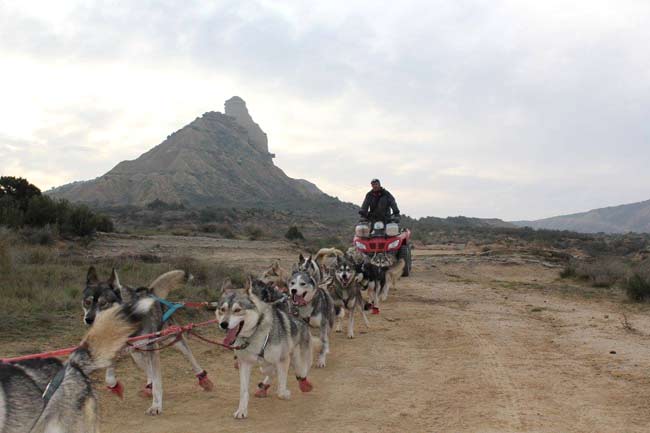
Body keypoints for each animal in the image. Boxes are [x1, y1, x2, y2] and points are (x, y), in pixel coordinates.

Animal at [81, 264, 213, 414]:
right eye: (87, 302)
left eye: (104, 303)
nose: (89, 319)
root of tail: (151, 292)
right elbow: (109, 377)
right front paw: (115, 385)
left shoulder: (152, 349)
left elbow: (157, 379)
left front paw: (156, 405)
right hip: (137, 354)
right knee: (148, 370)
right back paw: (148, 386)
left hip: (173, 340)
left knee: (190, 358)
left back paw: (203, 379)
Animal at [216, 278, 316, 416]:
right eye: (222, 309)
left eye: (237, 310)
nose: (223, 324)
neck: (254, 333)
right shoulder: (245, 363)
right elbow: (244, 391)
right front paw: (241, 411)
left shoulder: (283, 359)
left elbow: (281, 390)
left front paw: (285, 393)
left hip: (301, 358)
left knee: (302, 371)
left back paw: (304, 384)